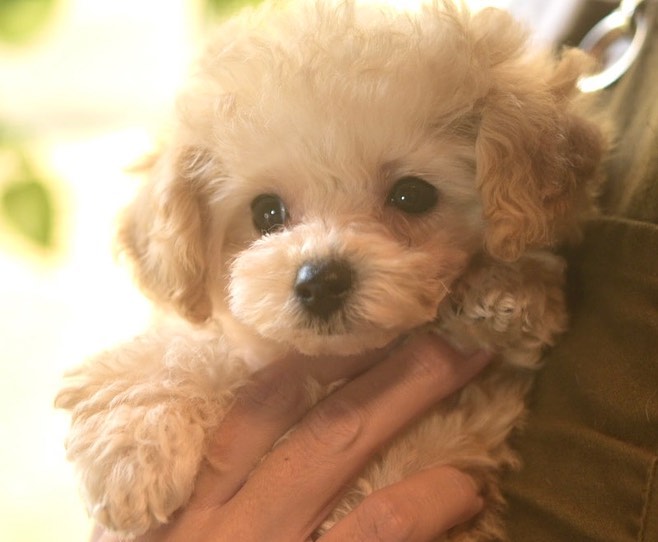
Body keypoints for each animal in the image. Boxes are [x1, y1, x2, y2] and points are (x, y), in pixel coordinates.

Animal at [55, 1, 605, 539]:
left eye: (412, 195)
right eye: (266, 212)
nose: (320, 282)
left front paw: (504, 292)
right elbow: (175, 350)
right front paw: (134, 455)